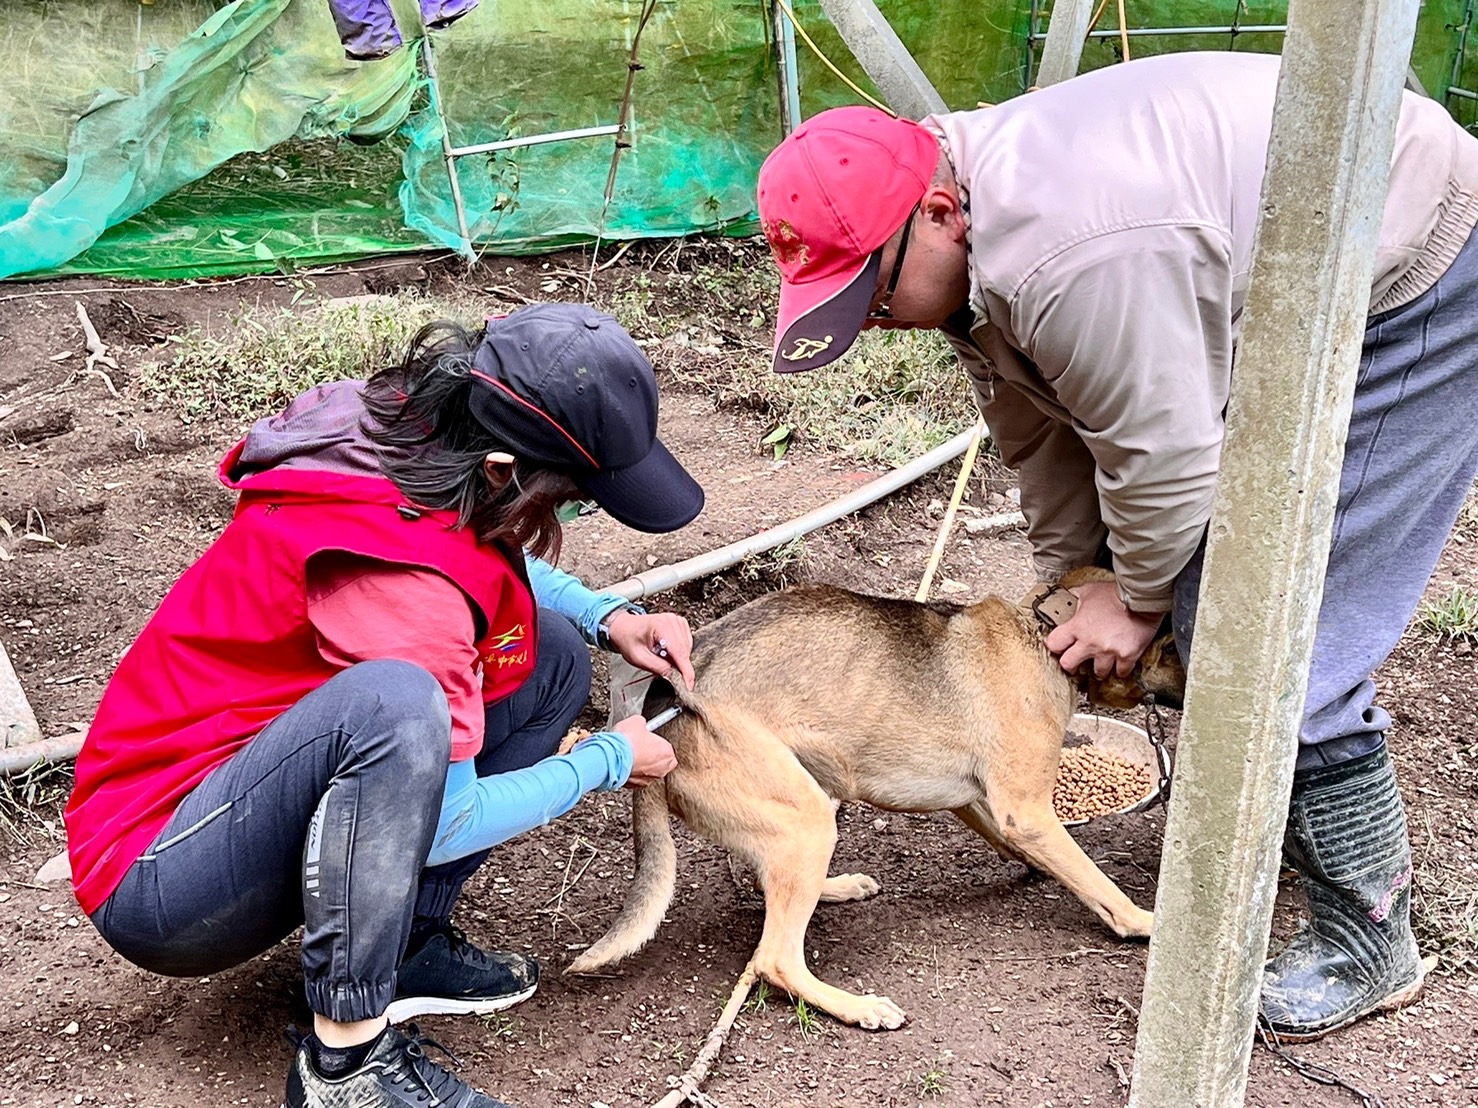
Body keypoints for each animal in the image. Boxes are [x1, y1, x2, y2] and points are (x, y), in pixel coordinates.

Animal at [564, 573, 1188, 1034]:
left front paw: (1038, 869)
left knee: (770, 884)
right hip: (808, 819)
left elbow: (1028, 847)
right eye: (1170, 644)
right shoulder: (1026, 811)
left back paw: (836, 887)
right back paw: (857, 1006)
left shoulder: (979, 803)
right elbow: (1098, 881)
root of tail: (661, 706)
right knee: (774, 958)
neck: (1041, 630)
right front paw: (1143, 922)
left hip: (802, 808)